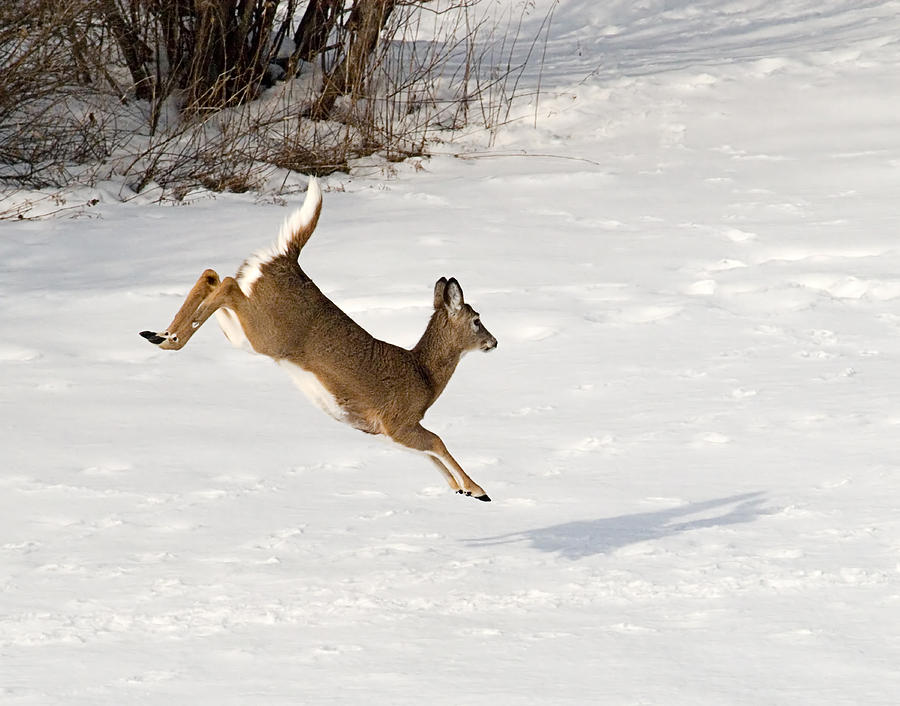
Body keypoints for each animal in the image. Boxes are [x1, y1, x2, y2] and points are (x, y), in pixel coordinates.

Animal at [139, 179, 500, 504]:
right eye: (476, 320)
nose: (494, 342)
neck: (424, 375)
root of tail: (287, 260)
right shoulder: (398, 420)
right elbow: (438, 442)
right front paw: (479, 490)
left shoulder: (386, 432)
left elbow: (429, 454)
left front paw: (461, 489)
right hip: (263, 331)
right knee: (225, 283)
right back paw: (169, 338)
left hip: (243, 332)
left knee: (212, 275)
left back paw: (159, 335)